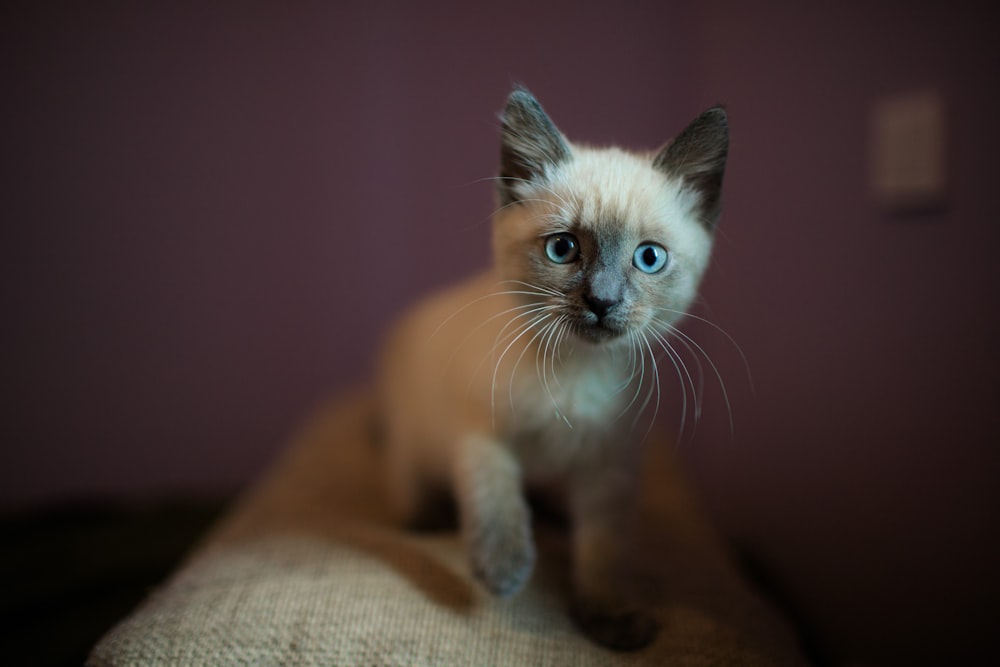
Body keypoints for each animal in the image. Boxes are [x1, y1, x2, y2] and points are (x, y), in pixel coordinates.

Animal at [376, 88, 728, 652]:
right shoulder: (477, 430)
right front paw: (503, 571)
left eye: (649, 258)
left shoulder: (610, 467)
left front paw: (610, 618)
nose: (602, 302)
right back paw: (427, 521)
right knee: (409, 487)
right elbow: (495, 494)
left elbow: (603, 551)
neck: (576, 374)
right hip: (414, 441)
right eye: (563, 248)